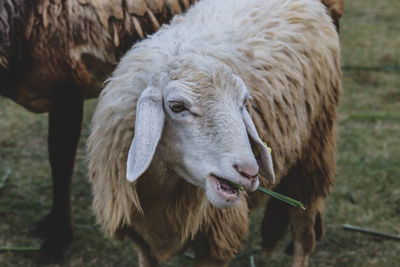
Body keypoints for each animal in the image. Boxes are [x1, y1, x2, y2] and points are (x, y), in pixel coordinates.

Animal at [87, 0, 344, 266]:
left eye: (243, 102)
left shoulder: (217, 237)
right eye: (177, 106)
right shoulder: (142, 240)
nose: (249, 172)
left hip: (314, 148)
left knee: (304, 232)